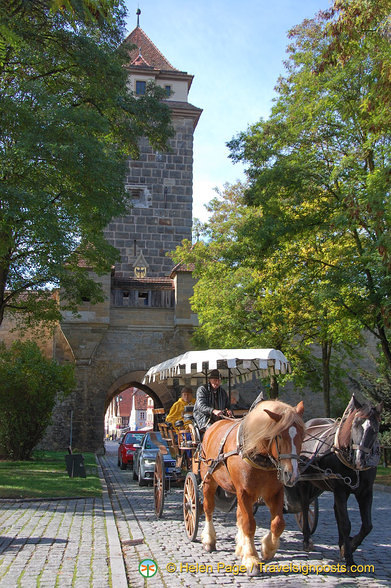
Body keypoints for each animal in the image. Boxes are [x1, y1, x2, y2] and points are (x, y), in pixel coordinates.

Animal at [201, 400, 304, 576]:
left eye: (302, 435)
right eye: (279, 435)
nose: (291, 475)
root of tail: (214, 425)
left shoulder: (274, 492)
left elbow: (278, 523)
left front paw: (267, 549)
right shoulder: (245, 492)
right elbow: (249, 524)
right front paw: (251, 559)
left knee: (239, 516)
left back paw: (240, 546)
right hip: (209, 480)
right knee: (208, 508)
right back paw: (209, 539)